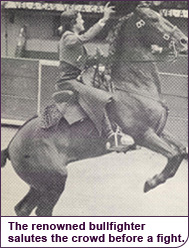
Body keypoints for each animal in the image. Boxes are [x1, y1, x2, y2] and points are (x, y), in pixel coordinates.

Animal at [1, 5, 188, 215]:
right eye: (153, 19)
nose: (183, 41)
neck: (133, 86)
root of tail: (11, 146)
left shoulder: (159, 130)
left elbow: (181, 150)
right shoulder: (144, 135)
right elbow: (173, 155)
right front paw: (151, 182)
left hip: (39, 185)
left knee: (23, 208)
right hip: (54, 182)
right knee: (42, 211)